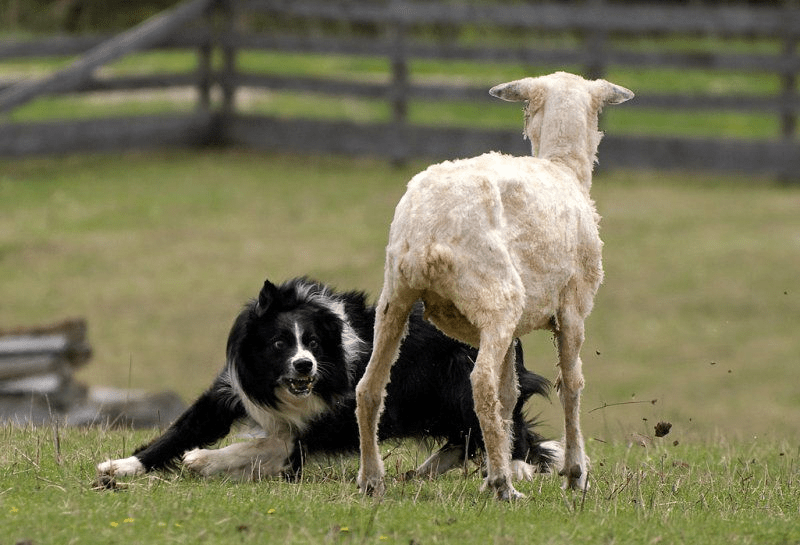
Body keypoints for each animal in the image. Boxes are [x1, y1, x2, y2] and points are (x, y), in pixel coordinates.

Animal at [98, 276, 564, 480]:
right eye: (279, 344)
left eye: (314, 345)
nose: (304, 366)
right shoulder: (234, 388)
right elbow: (182, 428)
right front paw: (121, 466)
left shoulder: (322, 420)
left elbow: (269, 443)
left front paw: (202, 460)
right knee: (466, 436)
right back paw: (424, 471)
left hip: (461, 388)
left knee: (508, 432)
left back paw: (517, 470)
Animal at [354, 70, 632, 500]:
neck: (563, 167)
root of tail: (429, 234)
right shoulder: (573, 309)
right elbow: (571, 385)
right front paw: (575, 474)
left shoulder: (515, 333)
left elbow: (510, 394)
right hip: (497, 299)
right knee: (481, 385)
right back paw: (504, 486)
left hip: (395, 298)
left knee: (369, 387)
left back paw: (372, 479)